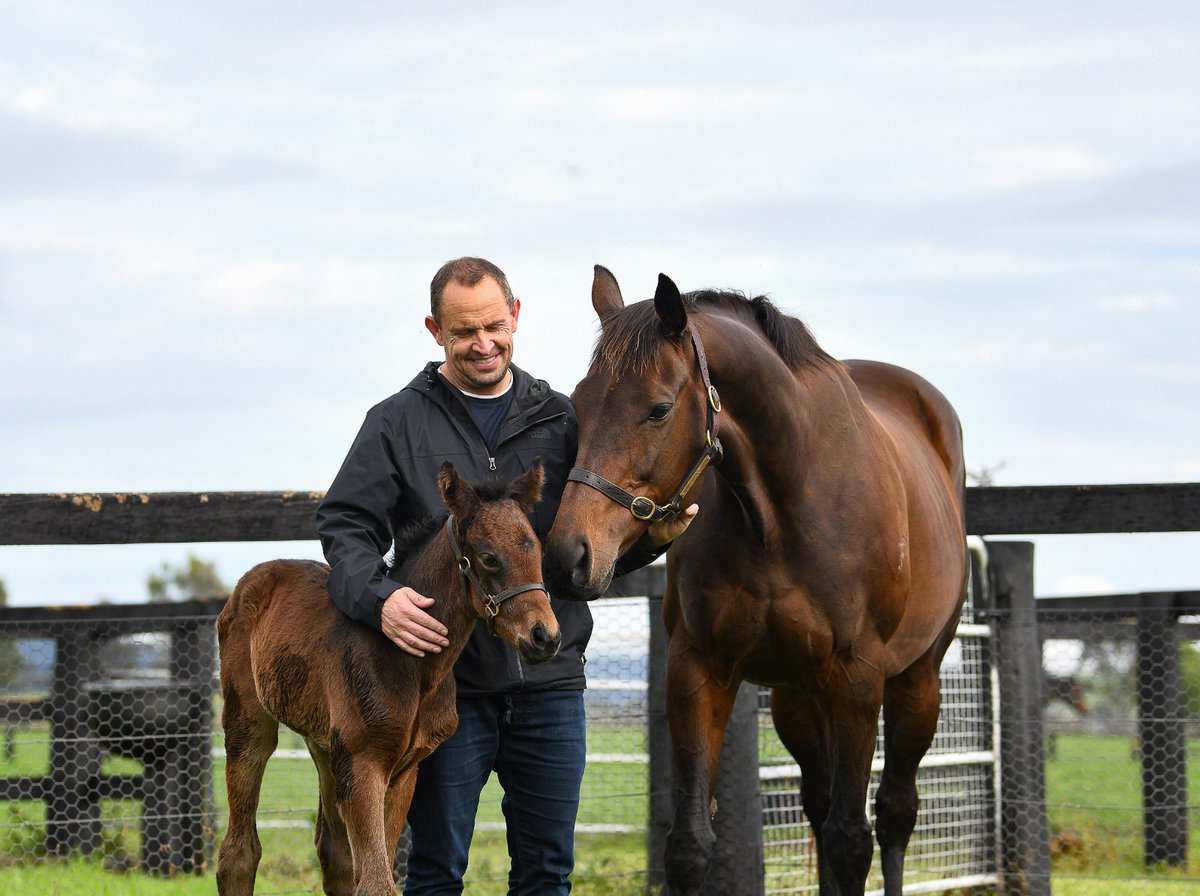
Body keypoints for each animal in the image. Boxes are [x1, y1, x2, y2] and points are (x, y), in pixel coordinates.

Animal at [217, 462, 561, 896]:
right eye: (488, 558)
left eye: (539, 550)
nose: (545, 636)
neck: (413, 668)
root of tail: (255, 577)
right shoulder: (364, 762)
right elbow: (377, 883)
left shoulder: (404, 770)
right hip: (249, 724)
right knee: (239, 851)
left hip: (325, 745)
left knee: (334, 852)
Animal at [544, 268, 964, 896]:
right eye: (578, 405)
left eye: (658, 410)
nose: (567, 555)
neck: (783, 509)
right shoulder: (699, 670)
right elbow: (692, 844)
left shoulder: (857, 679)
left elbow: (851, 841)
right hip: (797, 698)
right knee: (819, 807)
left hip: (918, 681)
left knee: (894, 814)